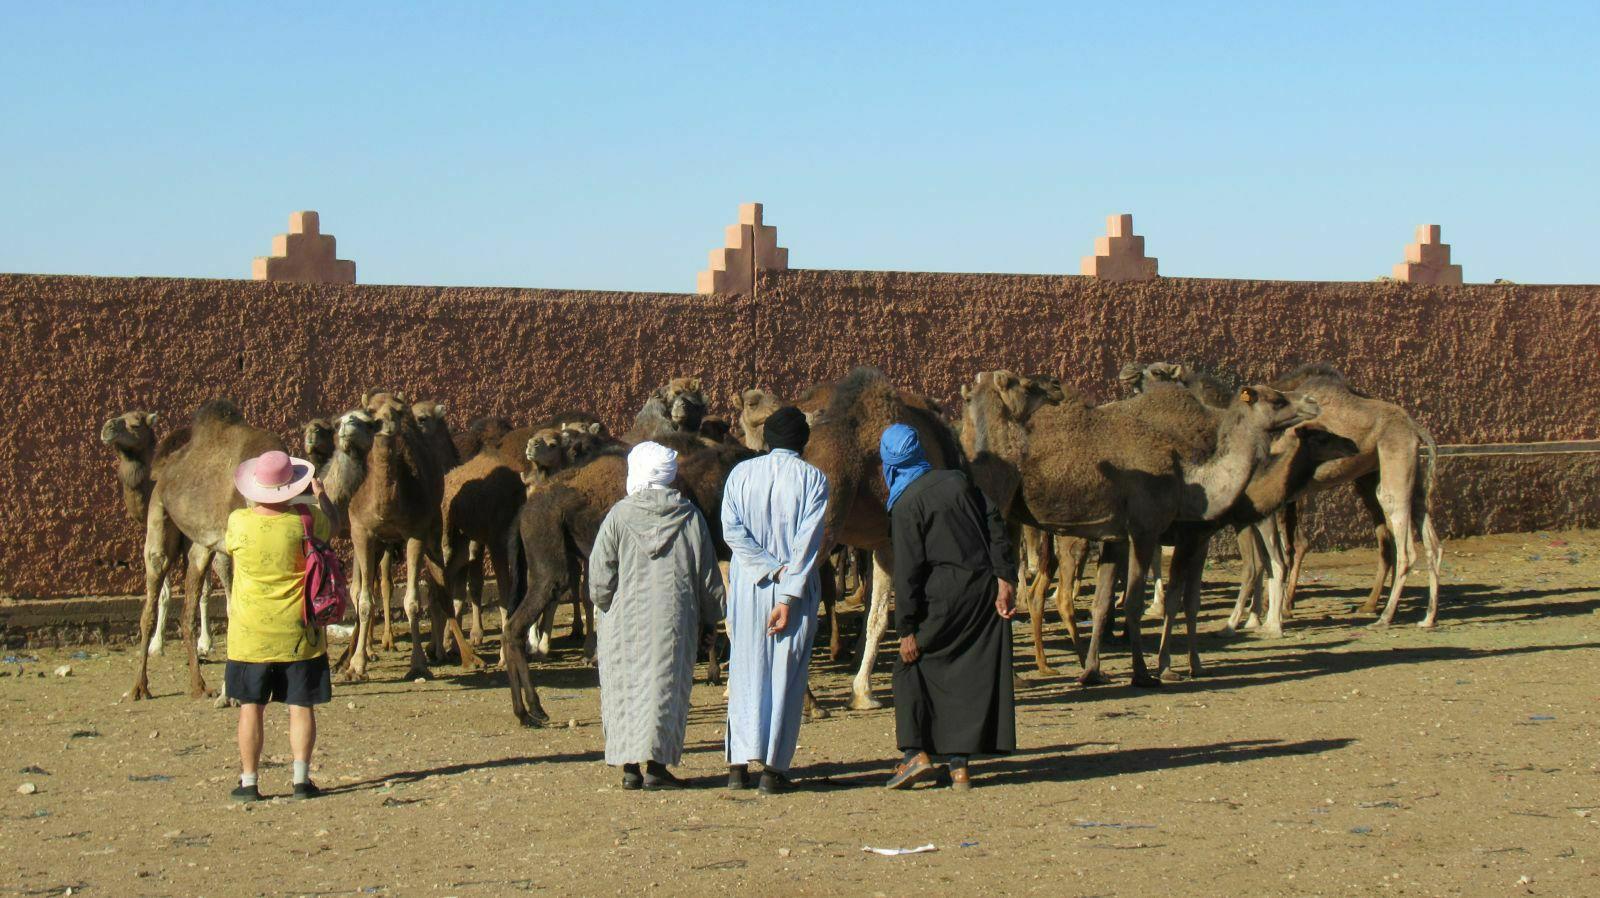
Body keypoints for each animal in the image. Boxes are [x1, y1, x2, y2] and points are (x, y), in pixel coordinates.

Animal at [128, 398, 278, 701]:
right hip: (159, 519)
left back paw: (198, 684)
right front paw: (230, 693)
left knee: (187, 611)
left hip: (198, 546)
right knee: (151, 599)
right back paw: (140, 686)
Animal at [496, 435, 752, 729]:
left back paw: (523, 711)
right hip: (549, 564)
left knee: (511, 626)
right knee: (515, 625)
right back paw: (534, 709)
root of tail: (523, 514)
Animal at [960, 371, 1312, 685]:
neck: (1190, 483)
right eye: (1277, 399)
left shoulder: (1116, 535)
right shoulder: (1153, 531)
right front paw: (1149, 672)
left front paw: (1094, 671)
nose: (1310, 402)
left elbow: (1104, 602)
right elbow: (1143, 601)